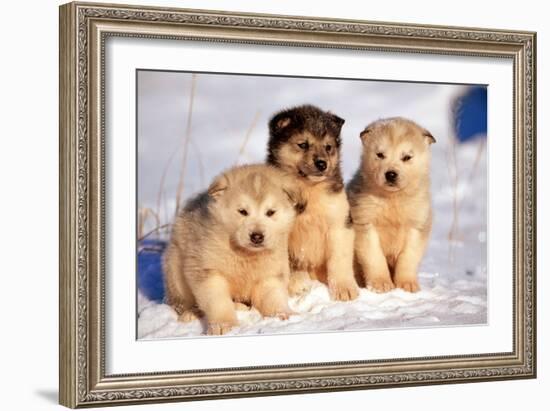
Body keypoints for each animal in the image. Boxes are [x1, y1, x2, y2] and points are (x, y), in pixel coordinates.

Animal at [164, 164, 302, 334]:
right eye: (242, 211)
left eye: (270, 212)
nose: (257, 236)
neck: (245, 254)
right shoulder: (208, 269)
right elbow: (218, 302)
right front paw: (225, 325)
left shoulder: (270, 273)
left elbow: (274, 297)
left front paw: (283, 315)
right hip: (175, 270)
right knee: (180, 303)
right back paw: (191, 314)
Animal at [268, 104, 362, 300]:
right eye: (303, 144)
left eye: (328, 147)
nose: (322, 164)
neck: (309, 189)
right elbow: (288, 262)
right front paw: (296, 284)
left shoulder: (339, 222)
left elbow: (339, 259)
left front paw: (345, 289)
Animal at [350, 117, 436, 294]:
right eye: (380, 155)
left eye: (407, 157)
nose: (390, 174)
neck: (393, 200)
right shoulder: (365, 222)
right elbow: (374, 257)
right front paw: (380, 284)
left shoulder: (417, 225)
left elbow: (408, 257)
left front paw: (407, 285)